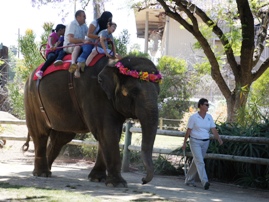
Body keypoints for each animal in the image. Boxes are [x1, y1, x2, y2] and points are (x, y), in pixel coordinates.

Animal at [22, 54, 161, 186]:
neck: (115, 64)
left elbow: (111, 134)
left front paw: (97, 178)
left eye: (158, 93)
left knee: (61, 138)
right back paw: (41, 173)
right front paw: (117, 184)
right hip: (31, 99)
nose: (143, 180)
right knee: (40, 134)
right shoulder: (94, 93)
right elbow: (107, 132)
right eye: (134, 92)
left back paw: (48, 171)